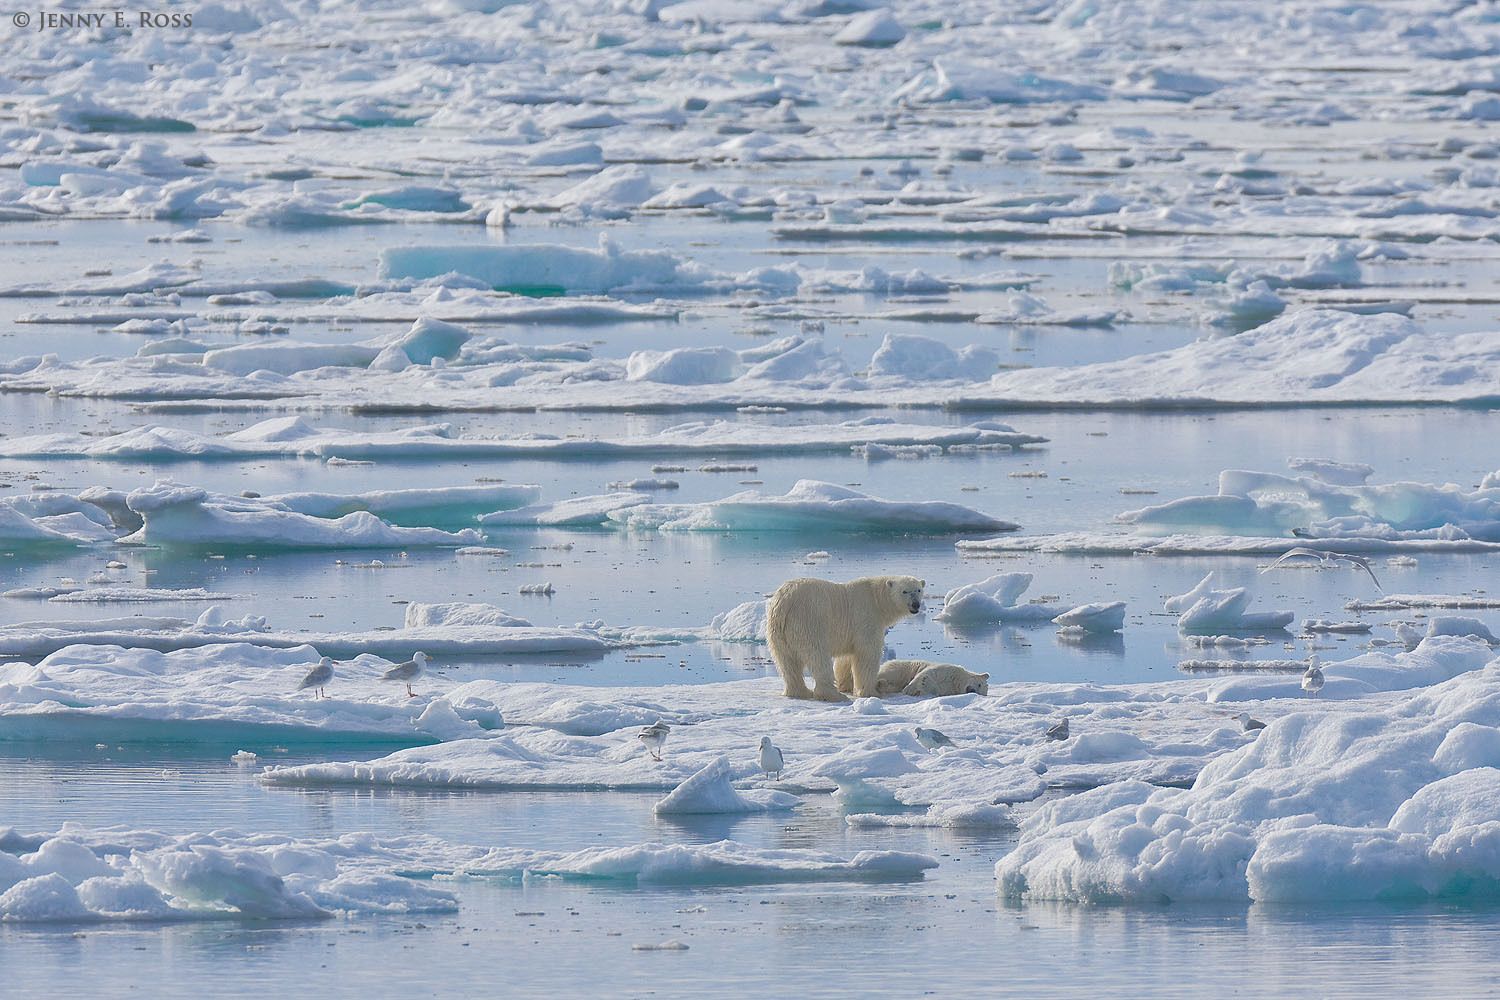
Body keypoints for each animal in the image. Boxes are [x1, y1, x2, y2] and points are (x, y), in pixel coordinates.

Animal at [766, 575, 925, 701]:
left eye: (918, 590)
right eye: (904, 591)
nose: (916, 604)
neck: (877, 599)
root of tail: (785, 601)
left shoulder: (850, 632)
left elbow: (847, 657)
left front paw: (846, 686)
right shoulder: (866, 617)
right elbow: (867, 654)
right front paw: (870, 692)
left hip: (777, 630)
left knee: (786, 662)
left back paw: (800, 692)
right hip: (809, 621)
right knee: (818, 656)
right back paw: (832, 695)